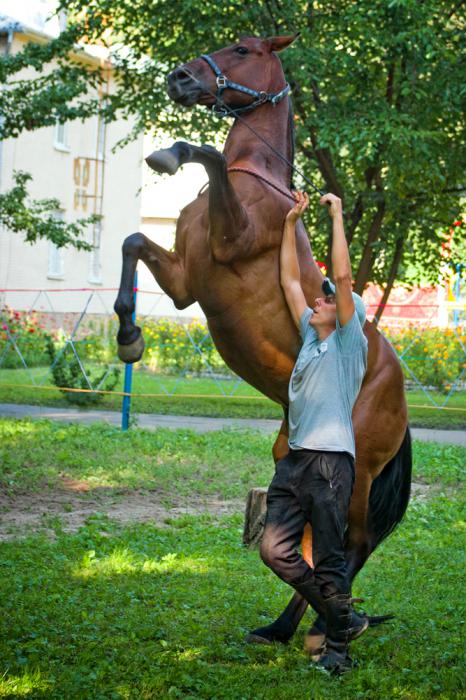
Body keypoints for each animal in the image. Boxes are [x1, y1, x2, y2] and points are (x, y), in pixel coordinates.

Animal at [114, 35, 412, 648]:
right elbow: (132, 240)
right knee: (310, 545)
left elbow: (207, 152)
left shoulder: (232, 241)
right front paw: (128, 337)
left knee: (352, 543)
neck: (256, 183)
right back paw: (285, 628)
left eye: (242, 49)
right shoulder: (184, 283)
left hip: (358, 478)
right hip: (291, 456)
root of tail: (400, 395)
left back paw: (330, 629)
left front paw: (171, 153)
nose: (180, 78)